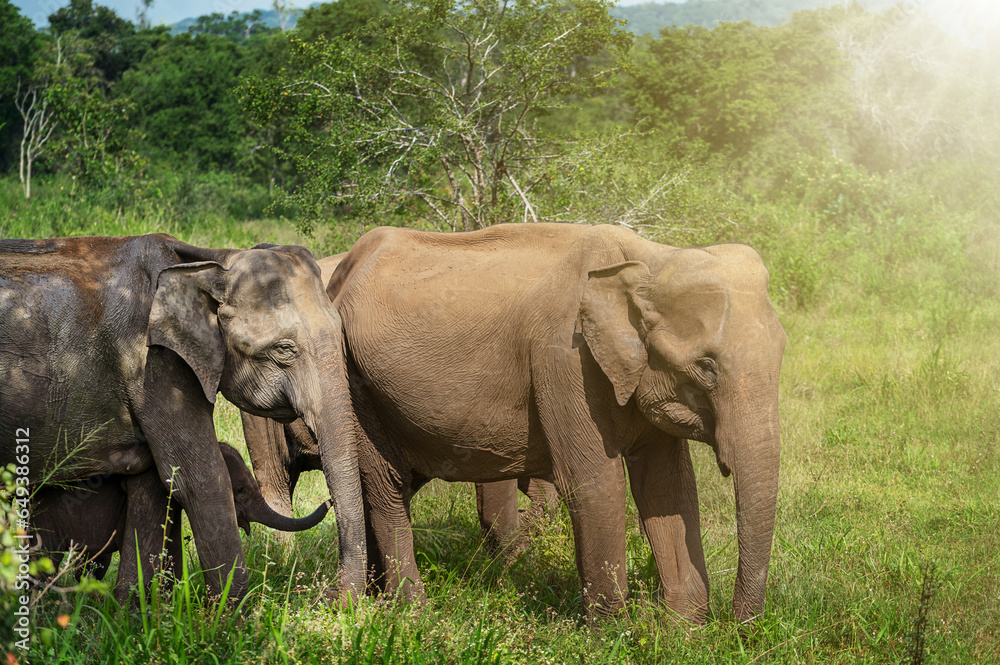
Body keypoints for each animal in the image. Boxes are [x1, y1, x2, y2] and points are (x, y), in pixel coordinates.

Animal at [323, 223, 784, 624]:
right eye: (706, 368)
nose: (738, 630)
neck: (650, 257)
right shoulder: (564, 359)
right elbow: (597, 484)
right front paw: (614, 636)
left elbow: (667, 486)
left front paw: (682, 633)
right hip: (351, 381)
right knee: (387, 486)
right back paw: (410, 614)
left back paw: (370, 599)